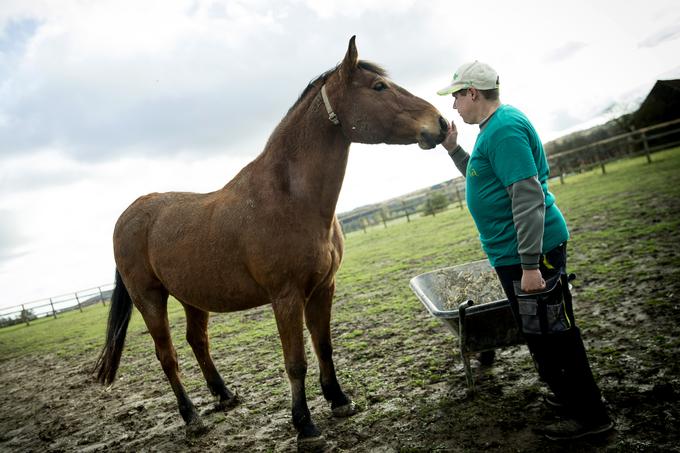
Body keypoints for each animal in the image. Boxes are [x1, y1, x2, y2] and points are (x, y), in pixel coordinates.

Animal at [94, 37, 446, 446]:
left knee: (197, 341)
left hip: (191, 297)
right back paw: (191, 416)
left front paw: (339, 400)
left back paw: (224, 395)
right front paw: (304, 425)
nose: (440, 123)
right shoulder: (286, 297)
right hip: (150, 299)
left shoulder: (324, 288)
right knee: (167, 356)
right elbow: (296, 361)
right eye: (378, 87)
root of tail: (129, 215)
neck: (290, 198)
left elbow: (323, 346)